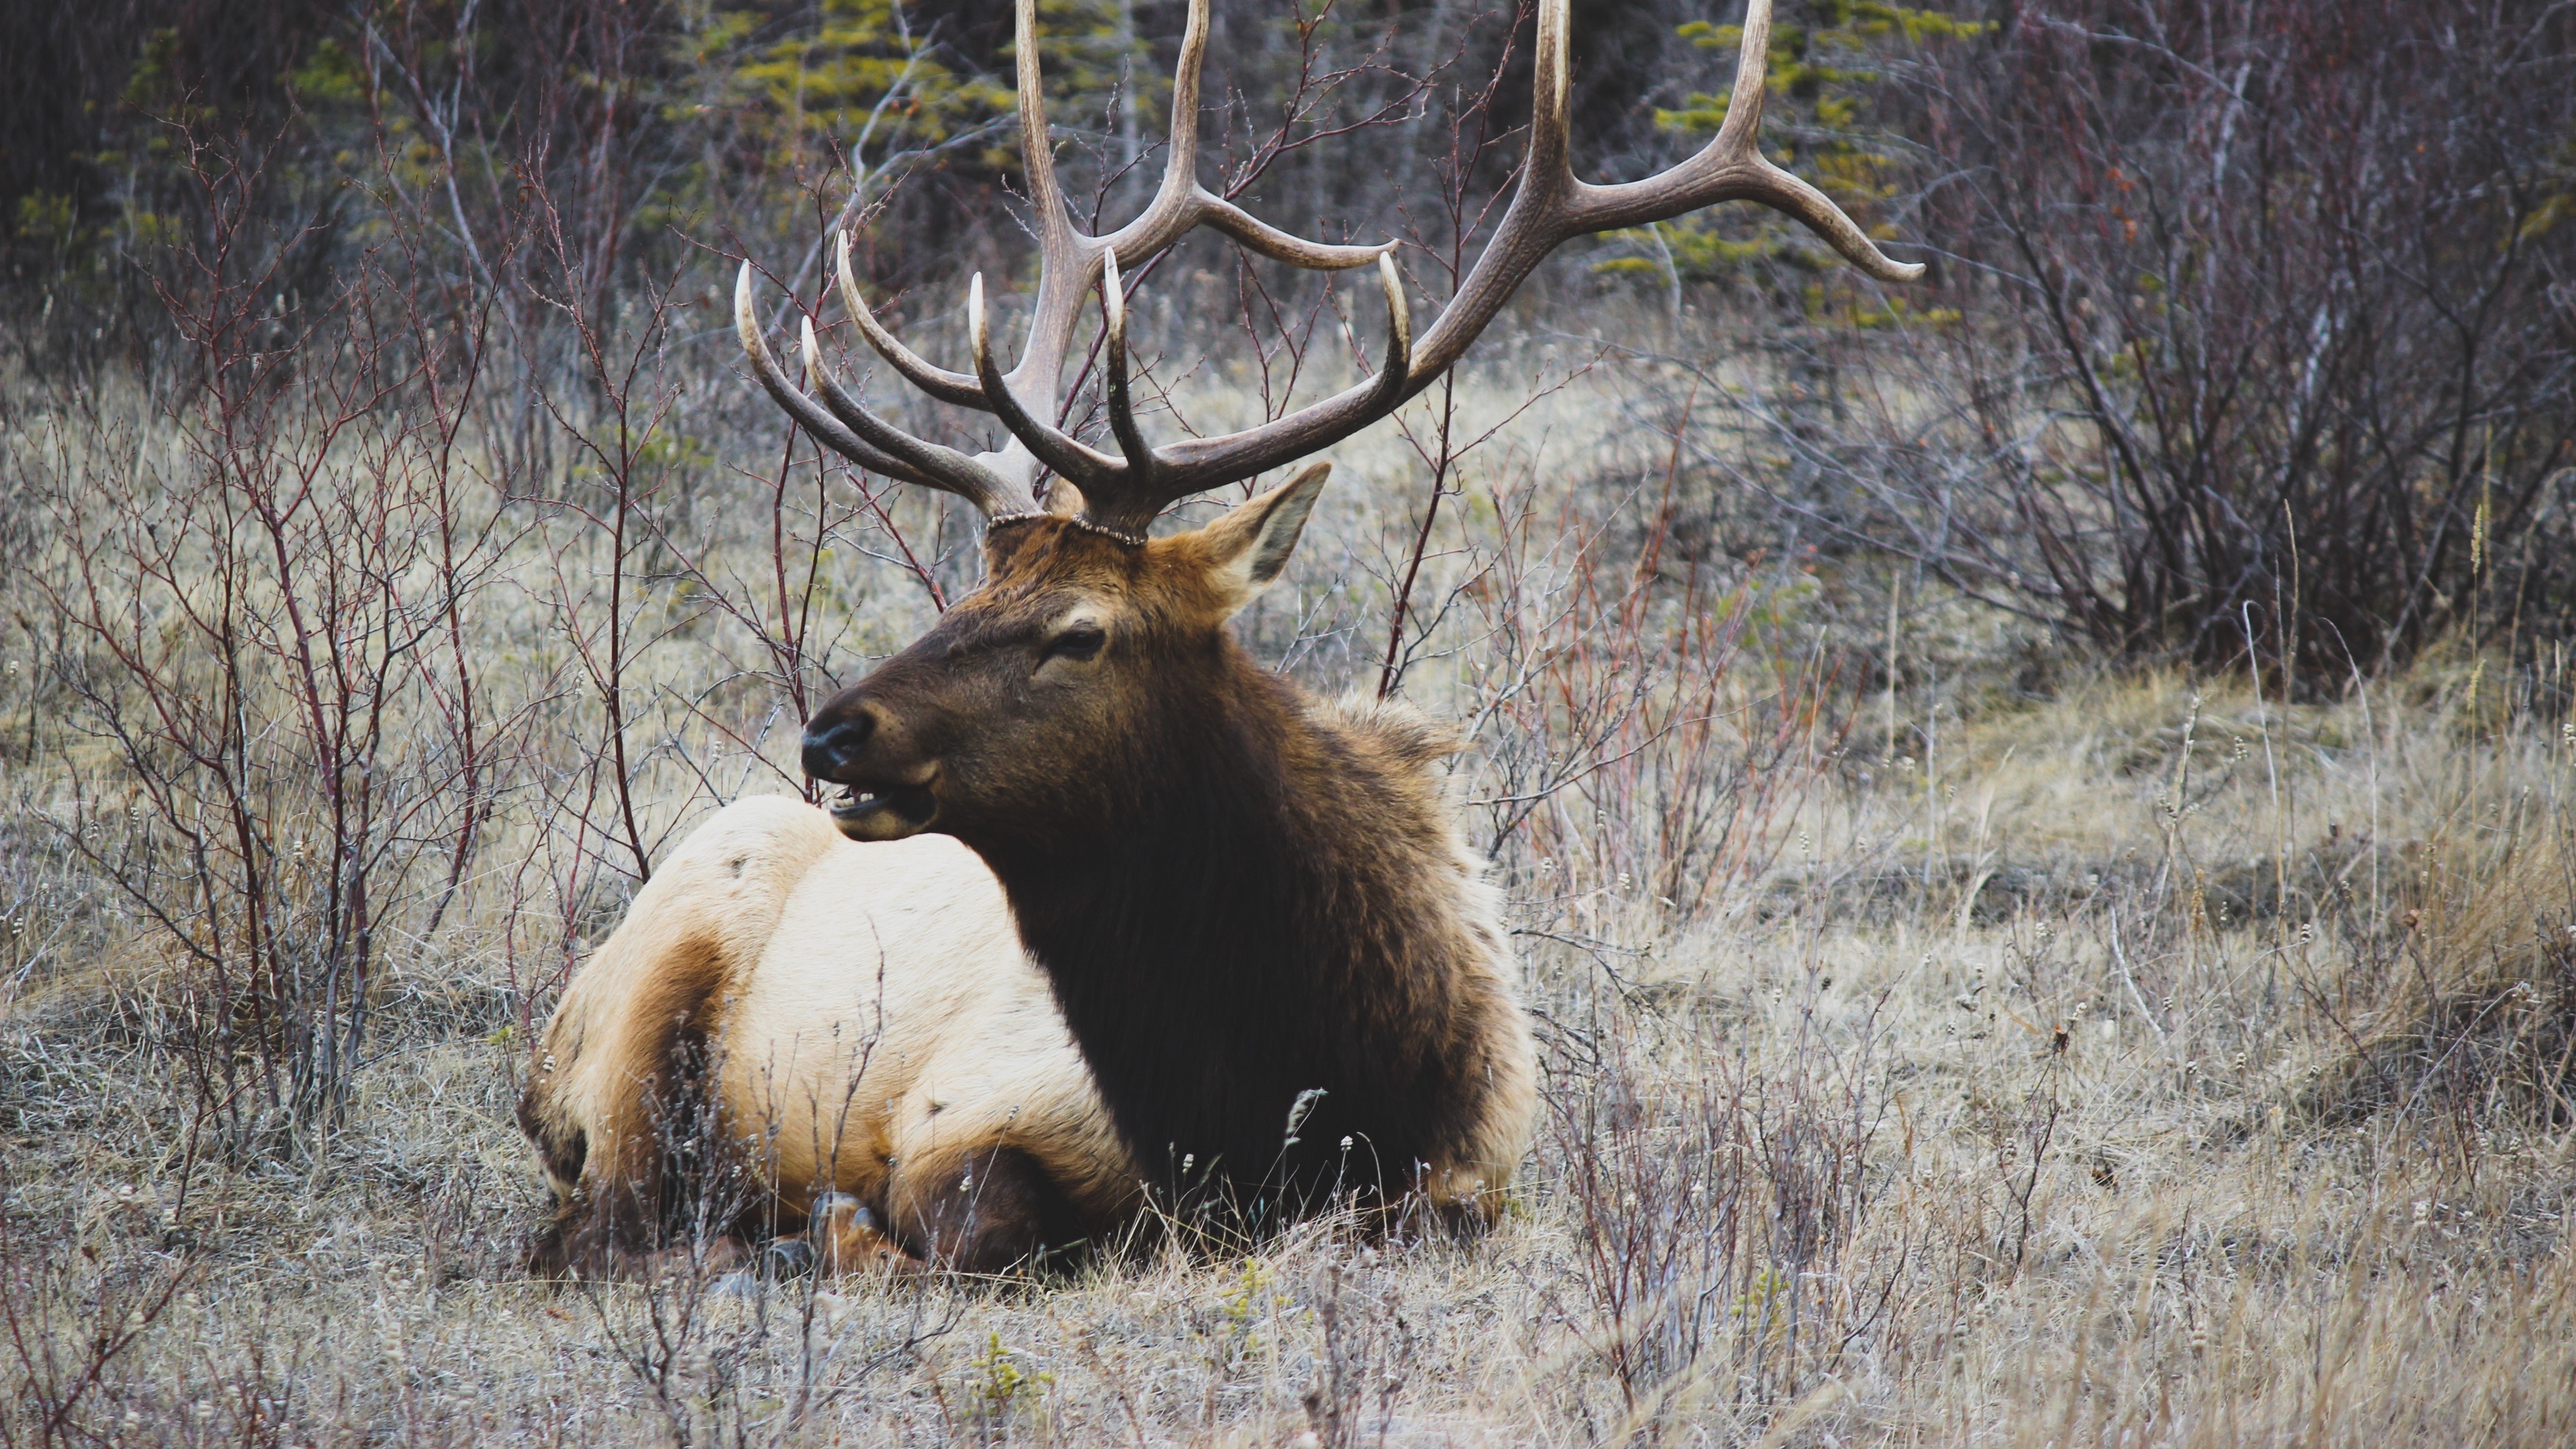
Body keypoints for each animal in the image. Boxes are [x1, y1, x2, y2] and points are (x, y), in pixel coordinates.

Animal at [523, 0, 1916, 1268]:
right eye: (960, 600)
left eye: (1078, 633)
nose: (833, 735)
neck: (1284, 1099)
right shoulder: (955, 1112)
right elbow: (962, 1227)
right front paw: (830, 1229)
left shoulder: (1473, 1174)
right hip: (643, 1014)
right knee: (596, 1224)